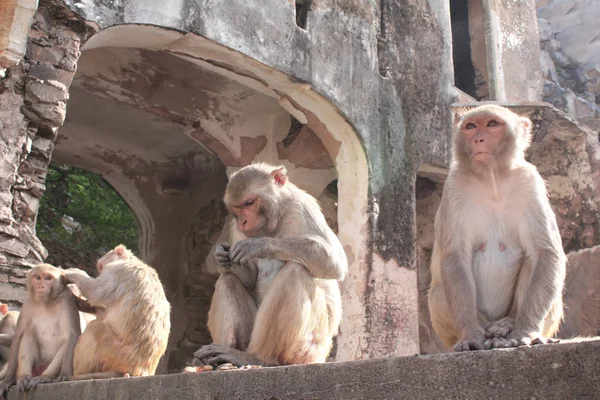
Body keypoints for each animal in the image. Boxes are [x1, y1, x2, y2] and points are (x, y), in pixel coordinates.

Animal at [0, 264, 81, 398]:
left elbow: (72, 334)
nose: (41, 286)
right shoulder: (28, 303)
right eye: (37, 277)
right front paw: (8, 380)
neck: (46, 303)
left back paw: (45, 376)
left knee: (65, 344)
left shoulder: (67, 300)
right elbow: (19, 335)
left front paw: (65, 374)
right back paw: (23, 377)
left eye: (48, 278)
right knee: (28, 333)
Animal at [65, 245, 171, 380]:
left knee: (95, 327)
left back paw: (76, 374)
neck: (133, 261)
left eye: (101, 267)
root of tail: (141, 371)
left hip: (116, 354)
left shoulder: (117, 270)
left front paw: (74, 273)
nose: (99, 273)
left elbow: (96, 291)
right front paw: (85, 306)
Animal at [192, 163, 346, 368]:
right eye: (237, 207)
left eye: (250, 203)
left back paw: (256, 357)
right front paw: (221, 256)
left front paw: (258, 246)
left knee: (295, 271)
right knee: (227, 280)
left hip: (308, 347)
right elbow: (248, 278)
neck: (274, 222)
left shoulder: (302, 207)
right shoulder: (237, 229)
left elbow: (334, 263)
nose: (243, 222)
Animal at [428, 104, 564, 352]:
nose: (478, 139)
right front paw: (470, 335)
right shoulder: (454, 186)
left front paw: (525, 332)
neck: (492, 181)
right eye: (471, 126)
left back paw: (506, 326)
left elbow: (545, 253)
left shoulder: (530, 181)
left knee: (535, 262)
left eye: (492, 124)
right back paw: (487, 332)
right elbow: (455, 257)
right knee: (437, 294)